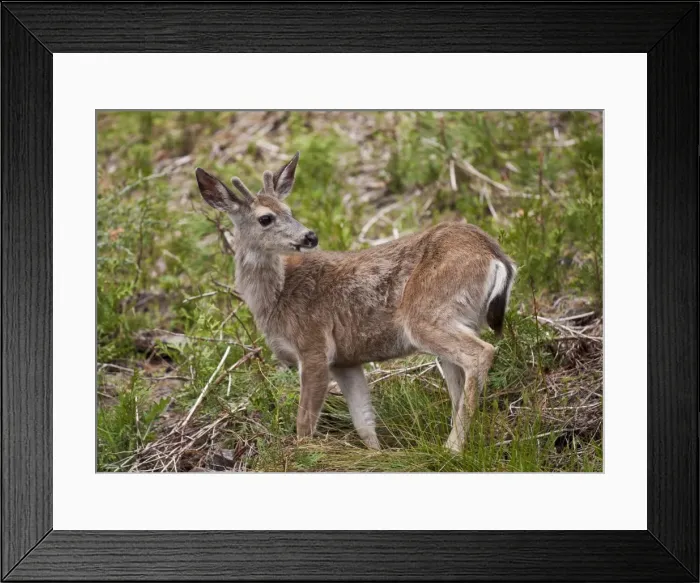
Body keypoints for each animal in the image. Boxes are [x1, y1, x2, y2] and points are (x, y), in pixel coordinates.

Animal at [195, 152, 517, 452]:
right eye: (266, 218)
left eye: (289, 210)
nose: (310, 236)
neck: (275, 299)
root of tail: (495, 255)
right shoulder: (346, 361)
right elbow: (364, 422)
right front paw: (377, 455)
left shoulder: (313, 345)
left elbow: (304, 425)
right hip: (455, 320)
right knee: (458, 379)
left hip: (426, 315)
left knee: (480, 353)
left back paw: (453, 447)